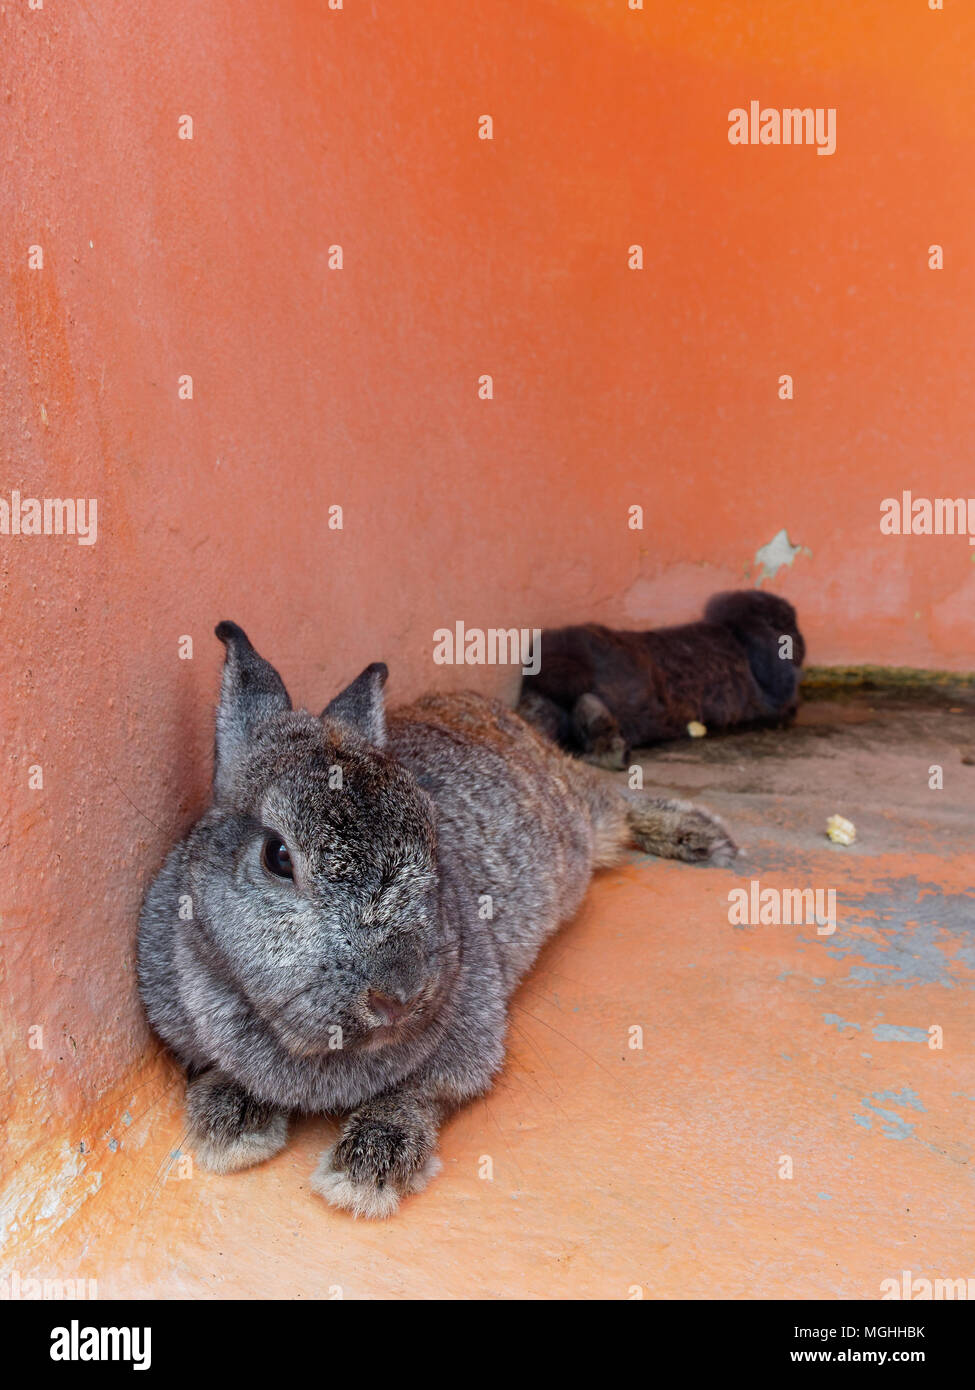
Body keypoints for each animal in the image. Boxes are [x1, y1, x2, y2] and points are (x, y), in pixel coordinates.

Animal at [137, 622, 738, 1218]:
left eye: (432, 838)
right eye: (277, 857)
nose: (399, 996)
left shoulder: (469, 1039)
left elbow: (418, 1095)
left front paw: (367, 1169)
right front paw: (229, 1128)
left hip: (581, 809)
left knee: (616, 800)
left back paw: (702, 835)